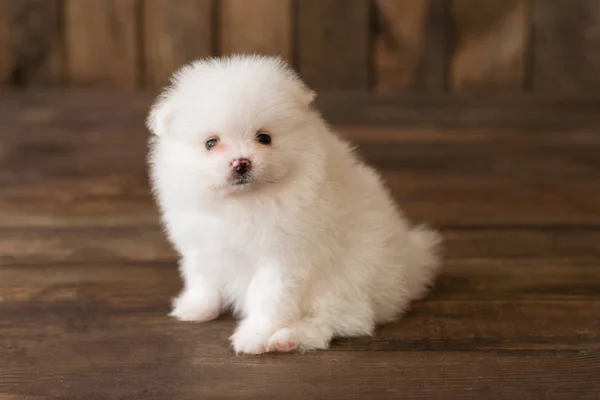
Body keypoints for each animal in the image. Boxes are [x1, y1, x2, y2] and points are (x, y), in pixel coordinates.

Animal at [148, 54, 442, 354]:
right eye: (210, 143)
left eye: (264, 138)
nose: (241, 163)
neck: (245, 202)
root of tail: (409, 268)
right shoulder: (202, 246)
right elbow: (202, 278)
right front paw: (196, 308)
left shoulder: (283, 259)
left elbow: (267, 298)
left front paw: (254, 336)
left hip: (345, 281)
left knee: (341, 321)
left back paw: (289, 338)